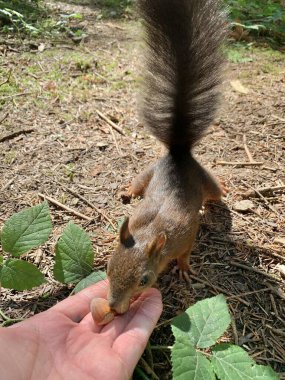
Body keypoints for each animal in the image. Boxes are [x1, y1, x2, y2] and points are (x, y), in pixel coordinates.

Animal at [105, 0, 225, 314]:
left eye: (144, 280)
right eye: (108, 266)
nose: (114, 308)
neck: (151, 232)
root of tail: (179, 154)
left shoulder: (187, 232)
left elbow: (186, 252)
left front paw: (182, 267)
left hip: (206, 182)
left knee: (216, 193)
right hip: (147, 173)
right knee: (137, 183)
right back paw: (127, 191)